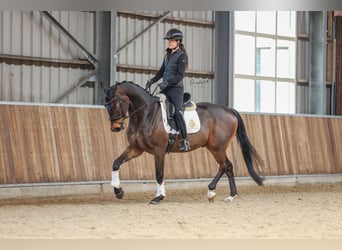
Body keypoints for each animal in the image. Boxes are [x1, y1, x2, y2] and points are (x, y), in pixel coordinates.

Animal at [103, 81, 264, 204]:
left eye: (115, 105)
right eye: (106, 106)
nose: (115, 128)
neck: (146, 114)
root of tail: (229, 110)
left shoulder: (159, 150)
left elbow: (159, 174)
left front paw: (159, 197)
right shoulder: (135, 149)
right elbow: (116, 163)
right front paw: (118, 190)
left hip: (217, 147)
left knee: (226, 165)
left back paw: (217, 192)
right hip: (215, 147)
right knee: (226, 166)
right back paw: (225, 194)